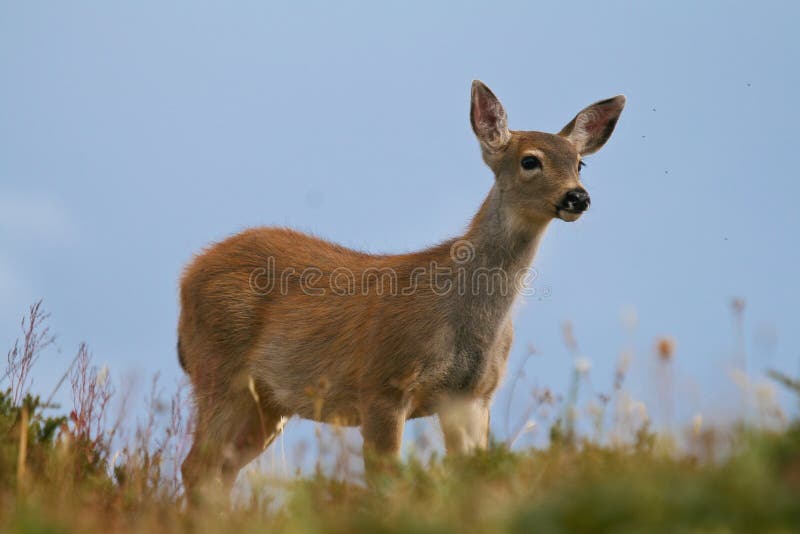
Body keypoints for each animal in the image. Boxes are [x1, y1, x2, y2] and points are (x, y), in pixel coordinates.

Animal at [177, 81, 624, 500]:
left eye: (580, 163)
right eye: (530, 160)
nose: (577, 197)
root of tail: (188, 275)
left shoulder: (473, 397)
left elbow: (473, 480)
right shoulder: (382, 384)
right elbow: (386, 485)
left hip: (268, 402)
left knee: (222, 471)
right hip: (219, 370)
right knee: (197, 467)